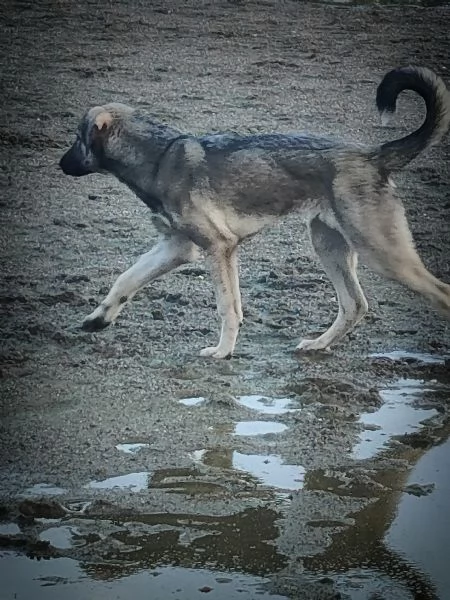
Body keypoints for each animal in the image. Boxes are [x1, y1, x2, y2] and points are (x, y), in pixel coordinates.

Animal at [60, 67, 450, 356]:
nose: (59, 165)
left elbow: (228, 306)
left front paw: (222, 352)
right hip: (329, 245)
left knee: (438, 294)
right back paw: (317, 344)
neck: (158, 156)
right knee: (355, 305)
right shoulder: (177, 247)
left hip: (383, 254)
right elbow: (126, 279)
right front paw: (98, 319)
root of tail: (375, 155)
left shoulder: (218, 247)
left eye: (76, 140)